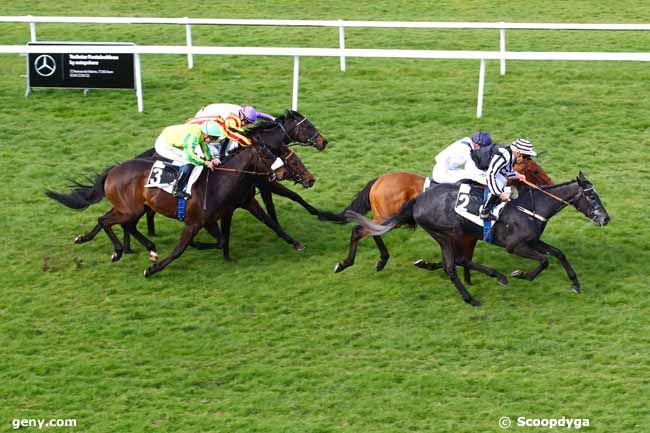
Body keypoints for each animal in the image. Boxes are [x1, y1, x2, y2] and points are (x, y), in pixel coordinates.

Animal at [320, 157, 552, 282]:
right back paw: (346, 263)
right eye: (534, 170)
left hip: (390, 218)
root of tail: (379, 180)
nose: (550, 183)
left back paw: (381, 260)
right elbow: (461, 258)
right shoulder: (468, 234)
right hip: (392, 217)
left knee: (371, 230)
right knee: (362, 230)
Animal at [346, 172, 612, 308]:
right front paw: (522, 275)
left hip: (446, 234)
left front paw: (575, 284)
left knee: (454, 263)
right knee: (452, 265)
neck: (532, 206)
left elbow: (558, 253)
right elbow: (544, 261)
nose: (605, 218)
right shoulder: (515, 246)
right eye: (591, 196)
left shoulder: (533, 241)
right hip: (448, 232)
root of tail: (419, 199)